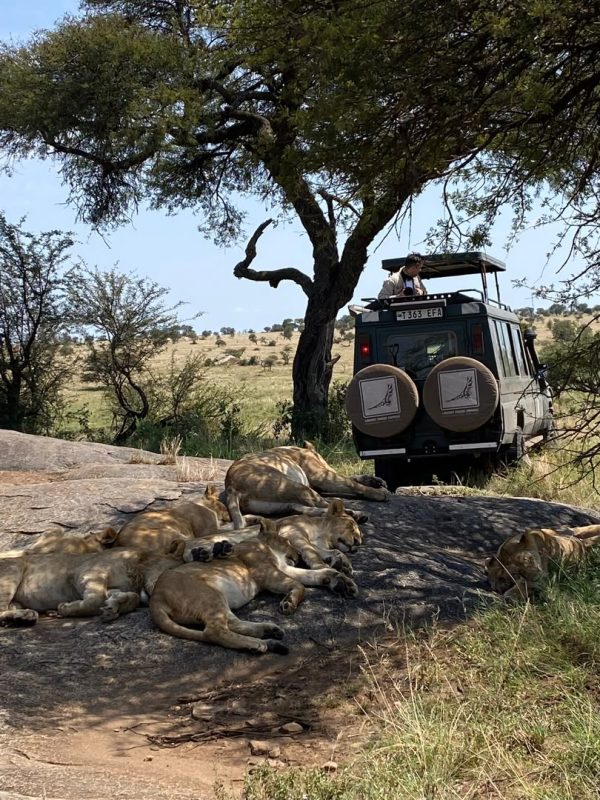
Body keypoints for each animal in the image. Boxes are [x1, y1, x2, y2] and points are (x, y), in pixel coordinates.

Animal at [0, 541, 186, 627]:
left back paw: (23, 617)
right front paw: (65, 608)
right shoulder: (88, 573)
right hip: (13, 570)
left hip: (15, 598)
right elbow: (95, 600)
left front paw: (113, 608)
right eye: (171, 574)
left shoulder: (113, 587)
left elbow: (131, 597)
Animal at [150, 527, 359, 654]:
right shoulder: (266, 573)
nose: (299, 555)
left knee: (232, 624)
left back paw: (269, 632)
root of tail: (155, 599)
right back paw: (257, 644)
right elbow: (300, 585)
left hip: (218, 600)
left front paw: (338, 581)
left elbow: (313, 575)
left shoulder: (283, 568)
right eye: (287, 541)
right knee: (214, 632)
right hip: (208, 595)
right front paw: (289, 603)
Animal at [225, 441, 390, 528]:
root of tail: (232, 487)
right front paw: (381, 493)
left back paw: (355, 514)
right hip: (296, 486)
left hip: (287, 500)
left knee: (308, 510)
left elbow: (350, 478)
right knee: (327, 507)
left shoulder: (321, 479)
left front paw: (376, 481)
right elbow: (350, 483)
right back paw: (356, 514)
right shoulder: (321, 476)